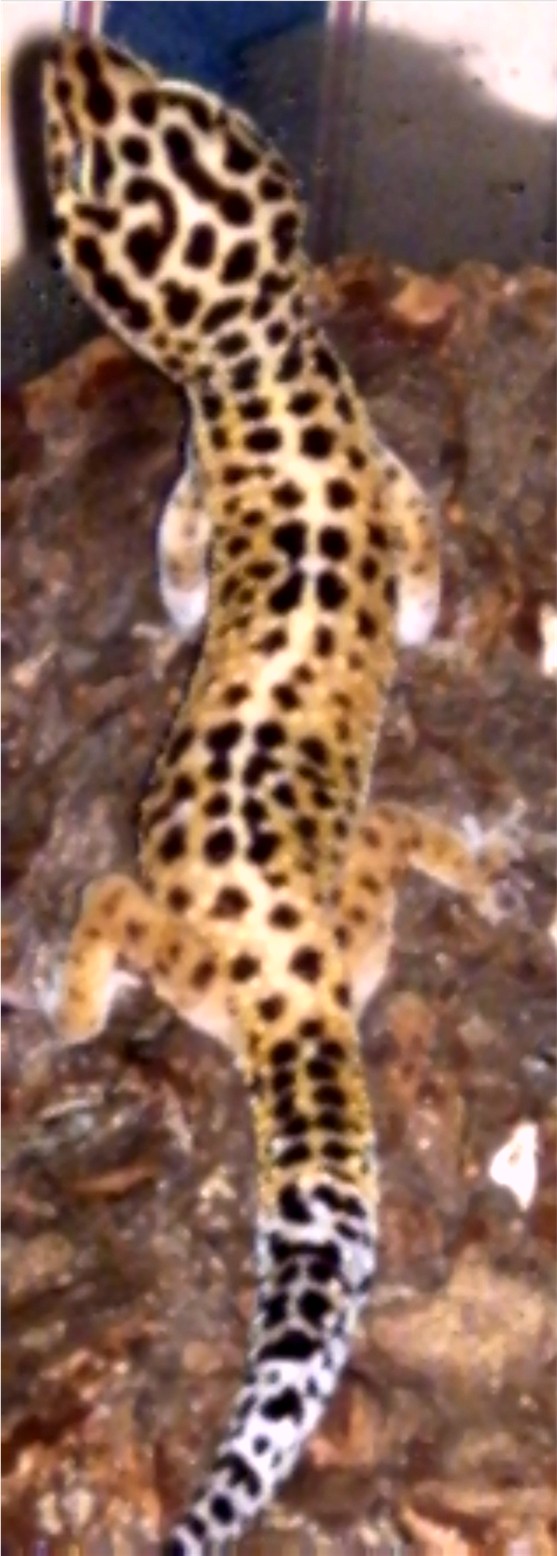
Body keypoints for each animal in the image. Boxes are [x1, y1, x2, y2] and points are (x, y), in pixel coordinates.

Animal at [42, 34, 520, 1554]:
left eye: (79, 158)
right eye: (144, 90)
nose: (68, 48)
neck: (271, 367)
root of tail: (290, 976)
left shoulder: (222, 475)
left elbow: (186, 577)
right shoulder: (378, 474)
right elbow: (419, 568)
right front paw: (422, 616)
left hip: (194, 928)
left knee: (109, 903)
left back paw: (62, 1007)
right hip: (350, 888)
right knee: (390, 846)